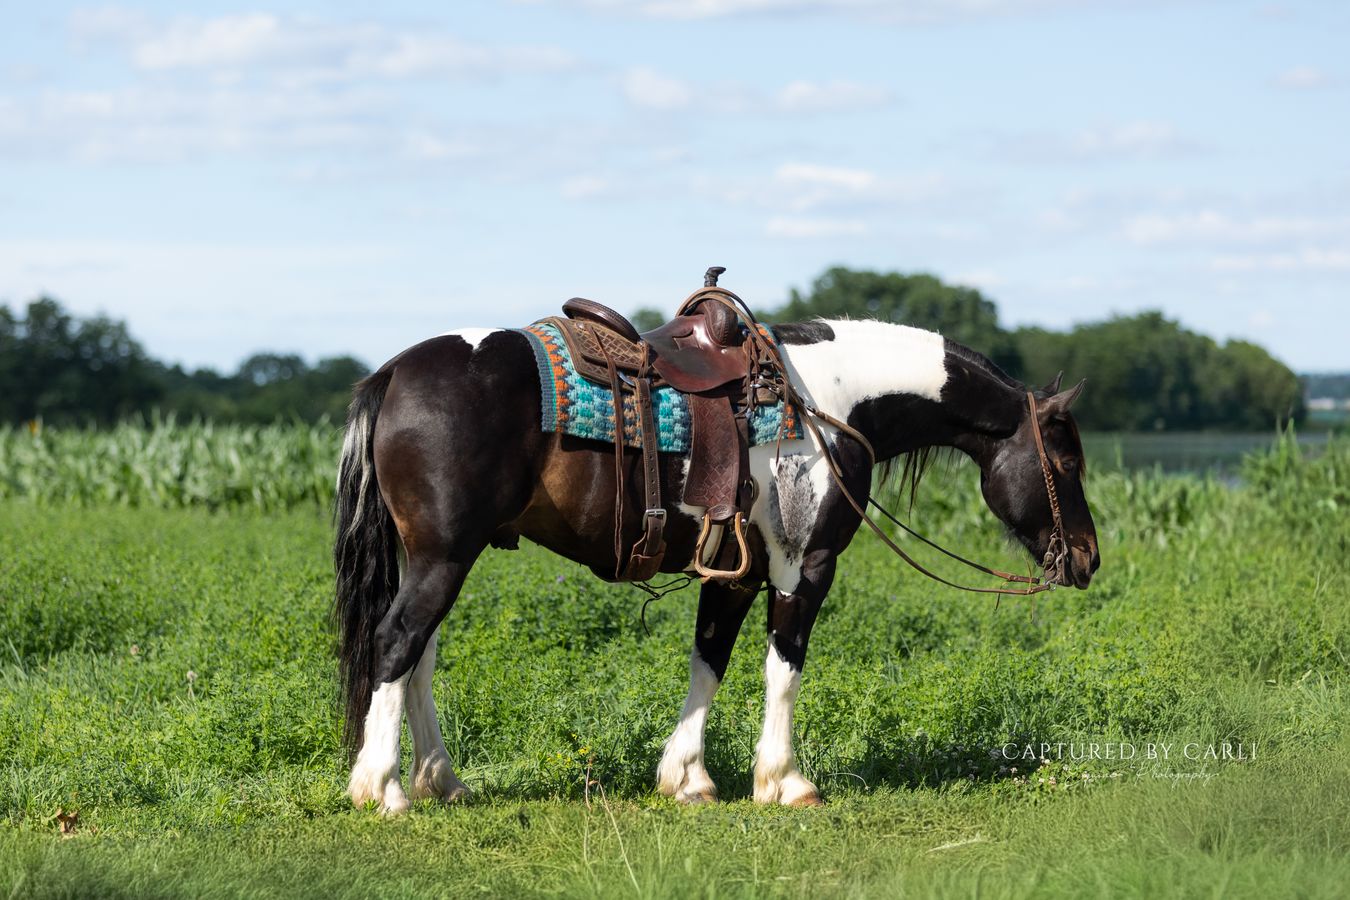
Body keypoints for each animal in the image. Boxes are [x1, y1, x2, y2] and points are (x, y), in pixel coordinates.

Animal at [333, 308, 1100, 814]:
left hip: (438, 557)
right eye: (1067, 461)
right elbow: (784, 669)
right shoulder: (804, 565)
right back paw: (383, 788)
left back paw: (442, 779)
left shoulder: (736, 570)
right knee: (396, 642)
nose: (1087, 558)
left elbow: (710, 660)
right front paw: (784, 781)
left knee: (419, 657)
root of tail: (392, 373)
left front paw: (687, 777)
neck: (831, 399)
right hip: (443, 558)